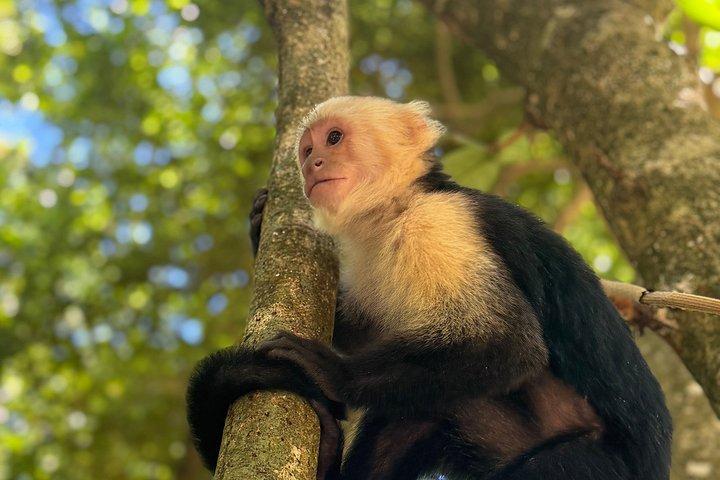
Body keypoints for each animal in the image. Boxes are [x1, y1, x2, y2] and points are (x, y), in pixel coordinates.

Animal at [186, 96, 672, 480]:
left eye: (334, 139)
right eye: (306, 149)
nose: (311, 164)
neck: (395, 207)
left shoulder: (439, 225)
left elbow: (511, 344)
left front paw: (331, 373)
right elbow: (365, 330)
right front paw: (257, 226)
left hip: (592, 466)